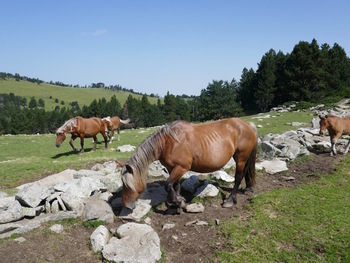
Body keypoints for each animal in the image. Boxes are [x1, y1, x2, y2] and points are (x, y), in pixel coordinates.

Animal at [119, 117, 258, 210]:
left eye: (128, 185)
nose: (127, 206)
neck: (168, 142)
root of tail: (247, 125)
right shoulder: (171, 168)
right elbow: (175, 185)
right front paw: (177, 200)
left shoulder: (182, 167)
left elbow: (168, 185)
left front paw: (178, 202)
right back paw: (247, 189)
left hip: (241, 157)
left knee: (238, 177)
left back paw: (230, 200)